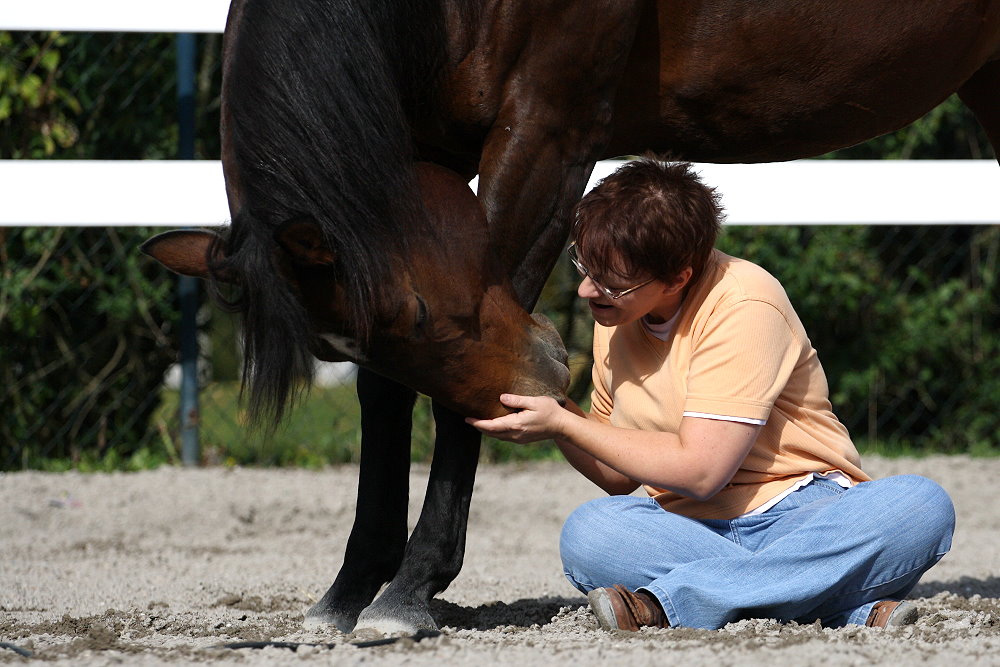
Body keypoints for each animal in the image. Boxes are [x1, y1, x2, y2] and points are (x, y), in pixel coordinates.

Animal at [143, 0, 1000, 636]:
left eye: (418, 309)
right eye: (343, 340)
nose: (552, 368)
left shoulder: (548, 128)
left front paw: (409, 590)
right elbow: (384, 395)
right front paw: (350, 588)